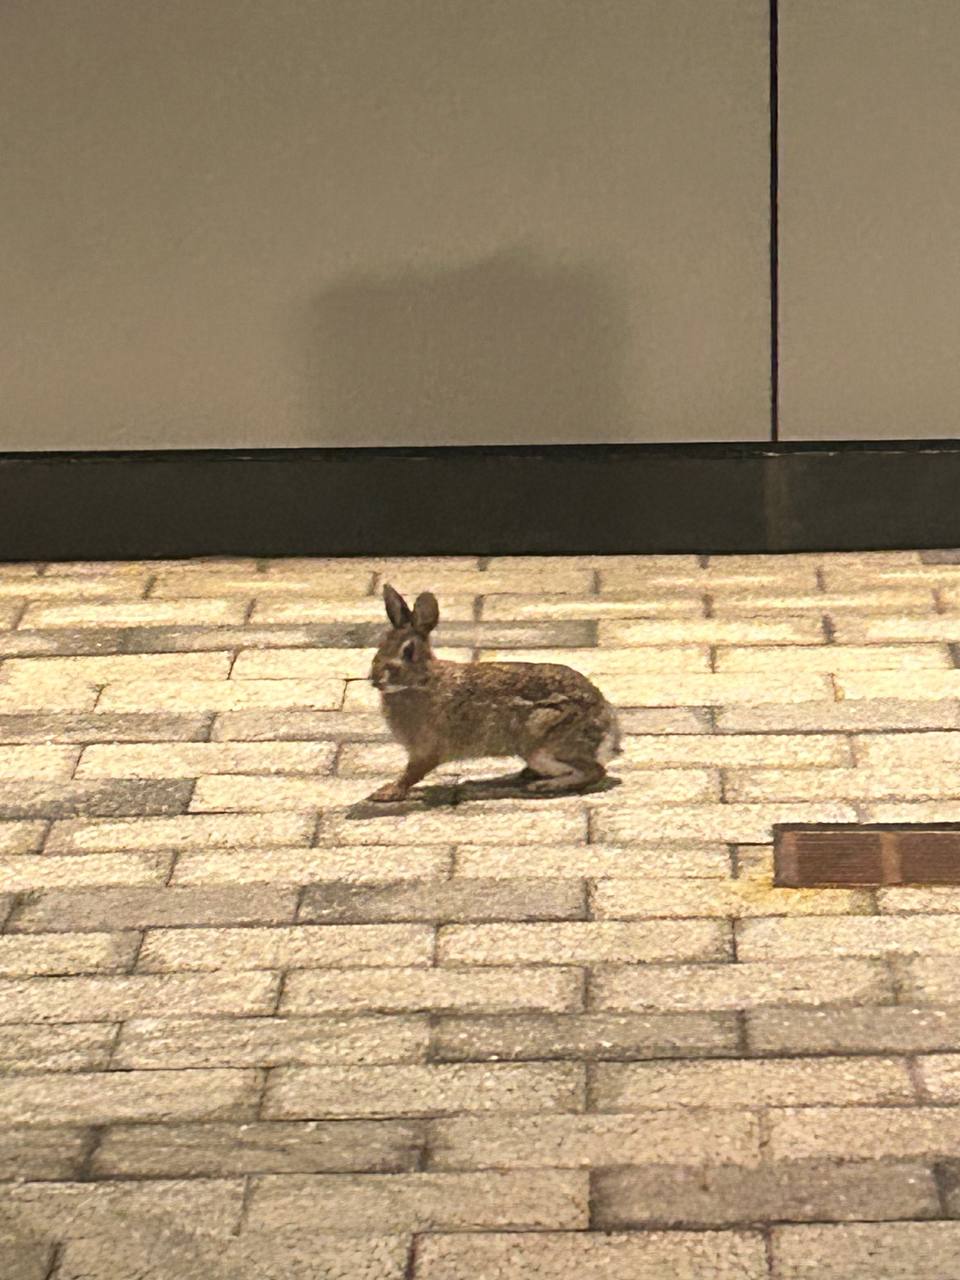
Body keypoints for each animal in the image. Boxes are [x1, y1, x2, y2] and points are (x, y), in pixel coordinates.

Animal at [367, 583, 621, 802]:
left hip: (541, 744)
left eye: (408, 652)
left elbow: (411, 775)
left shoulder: (426, 750)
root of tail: (608, 728)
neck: (424, 681)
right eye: (381, 644)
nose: (375, 679)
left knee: (594, 771)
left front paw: (386, 793)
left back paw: (543, 785)